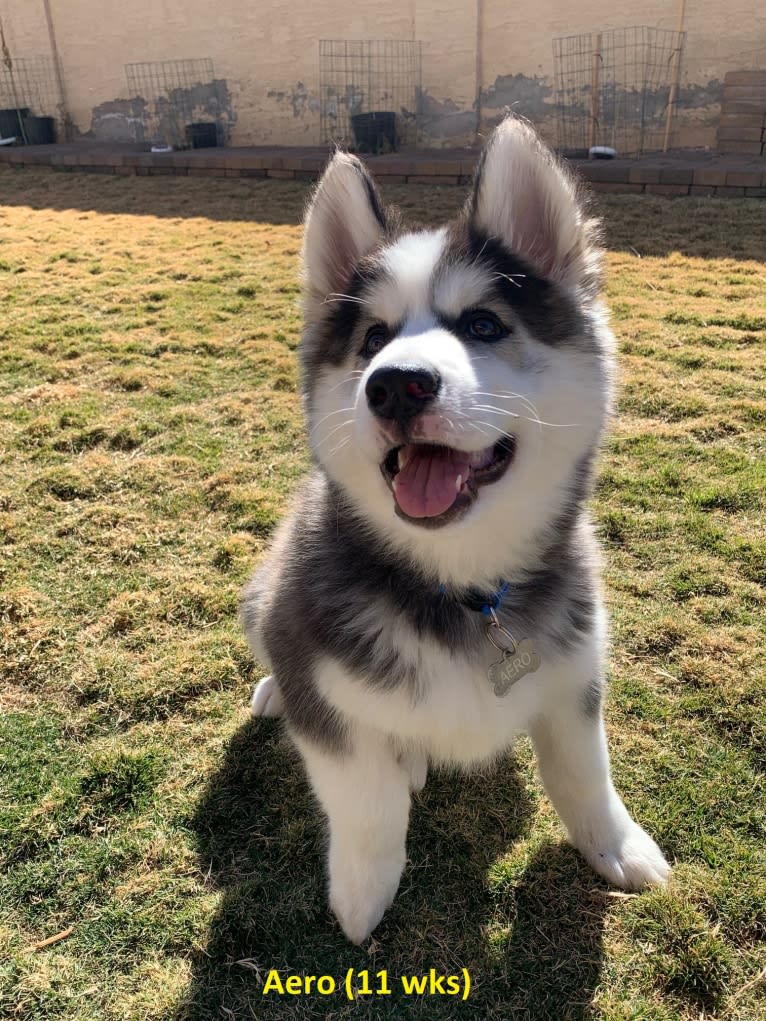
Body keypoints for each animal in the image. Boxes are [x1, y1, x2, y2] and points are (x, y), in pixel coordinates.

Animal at [241, 117, 669, 939]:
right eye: (372, 340)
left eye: (483, 324)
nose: (396, 385)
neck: (464, 585)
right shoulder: (320, 681)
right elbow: (365, 799)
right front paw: (364, 892)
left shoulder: (574, 668)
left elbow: (585, 770)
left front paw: (616, 845)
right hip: (261, 596)